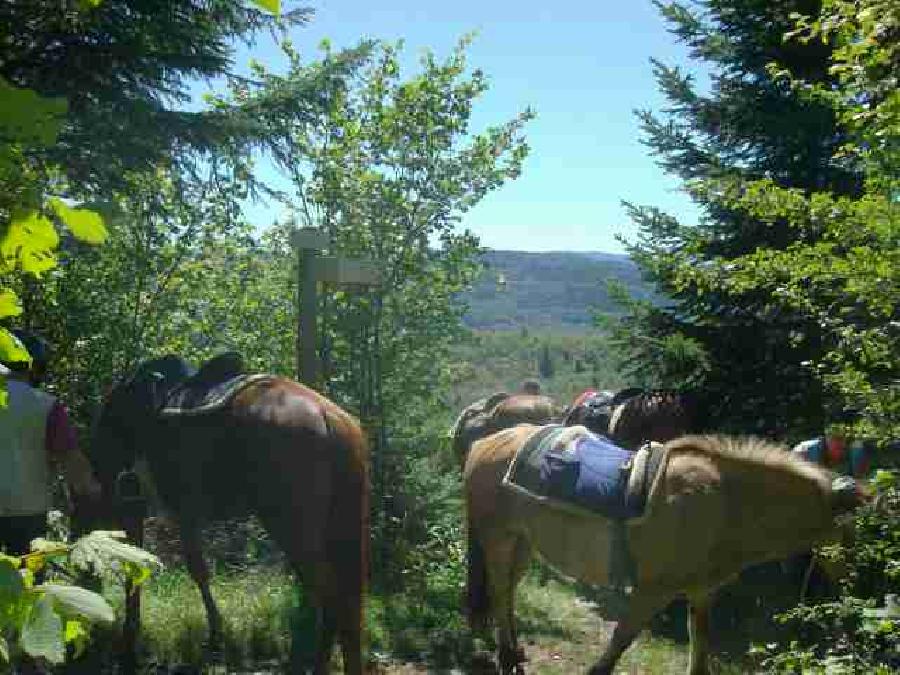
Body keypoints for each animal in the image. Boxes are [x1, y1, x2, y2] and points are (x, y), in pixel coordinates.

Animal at [90, 356, 370, 672]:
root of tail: (329, 417)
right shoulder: (180, 513)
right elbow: (193, 569)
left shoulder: (150, 508)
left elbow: (161, 568)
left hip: (292, 528)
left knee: (331, 596)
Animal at [464, 430, 864, 672]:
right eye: (849, 535)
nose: (854, 587)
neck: (726, 504)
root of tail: (486, 442)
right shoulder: (652, 590)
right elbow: (618, 643)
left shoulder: (701, 593)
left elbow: (700, 649)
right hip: (498, 539)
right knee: (499, 591)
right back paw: (506, 656)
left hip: (522, 544)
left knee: (508, 593)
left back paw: (513, 652)